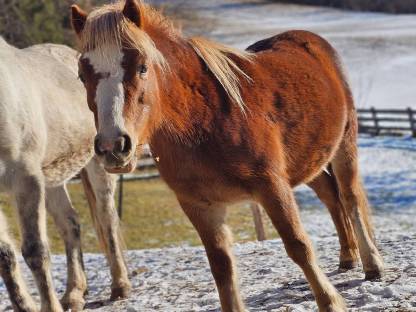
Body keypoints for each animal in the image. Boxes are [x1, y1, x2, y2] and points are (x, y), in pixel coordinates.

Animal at [0, 37, 130, 310]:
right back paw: (74, 294)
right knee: (70, 224)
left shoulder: (26, 179)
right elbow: (4, 254)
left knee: (107, 219)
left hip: (100, 163)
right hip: (52, 179)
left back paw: (120, 287)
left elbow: (35, 251)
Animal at [70, 1, 384, 310]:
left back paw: (372, 264)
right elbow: (221, 267)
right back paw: (348, 256)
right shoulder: (199, 206)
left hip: (344, 145)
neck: (204, 120)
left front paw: (331, 302)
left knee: (349, 198)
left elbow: (298, 245)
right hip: (310, 162)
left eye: (142, 67)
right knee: (332, 198)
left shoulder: (272, 187)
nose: (112, 146)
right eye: (82, 76)